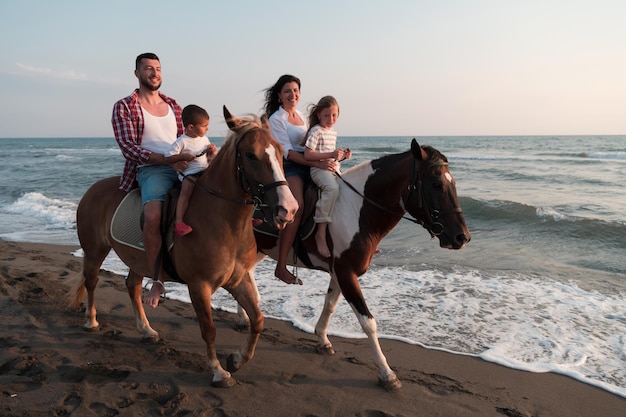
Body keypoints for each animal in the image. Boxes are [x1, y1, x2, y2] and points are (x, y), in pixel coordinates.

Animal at [69, 107, 298, 386]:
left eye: (279, 150)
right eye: (251, 155)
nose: (289, 208)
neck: (221, 220)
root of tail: (92, 189)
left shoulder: (239, 279)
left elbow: (258, 320)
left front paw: (237, 359)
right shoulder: (199, 286)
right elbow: (209, 329)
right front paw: (218, 370)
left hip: (138, 259)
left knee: (132, 286)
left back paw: (146, 329)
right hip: (95, 251)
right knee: (91, 282)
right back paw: (91, 320)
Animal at [246, 141, 470, 390]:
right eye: (436, 184)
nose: (462, 237)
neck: (356, 211)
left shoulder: (338, 273)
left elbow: (330, 305)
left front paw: (322, 339)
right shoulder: (346, 273)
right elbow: (368, 322)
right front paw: (387, 373)